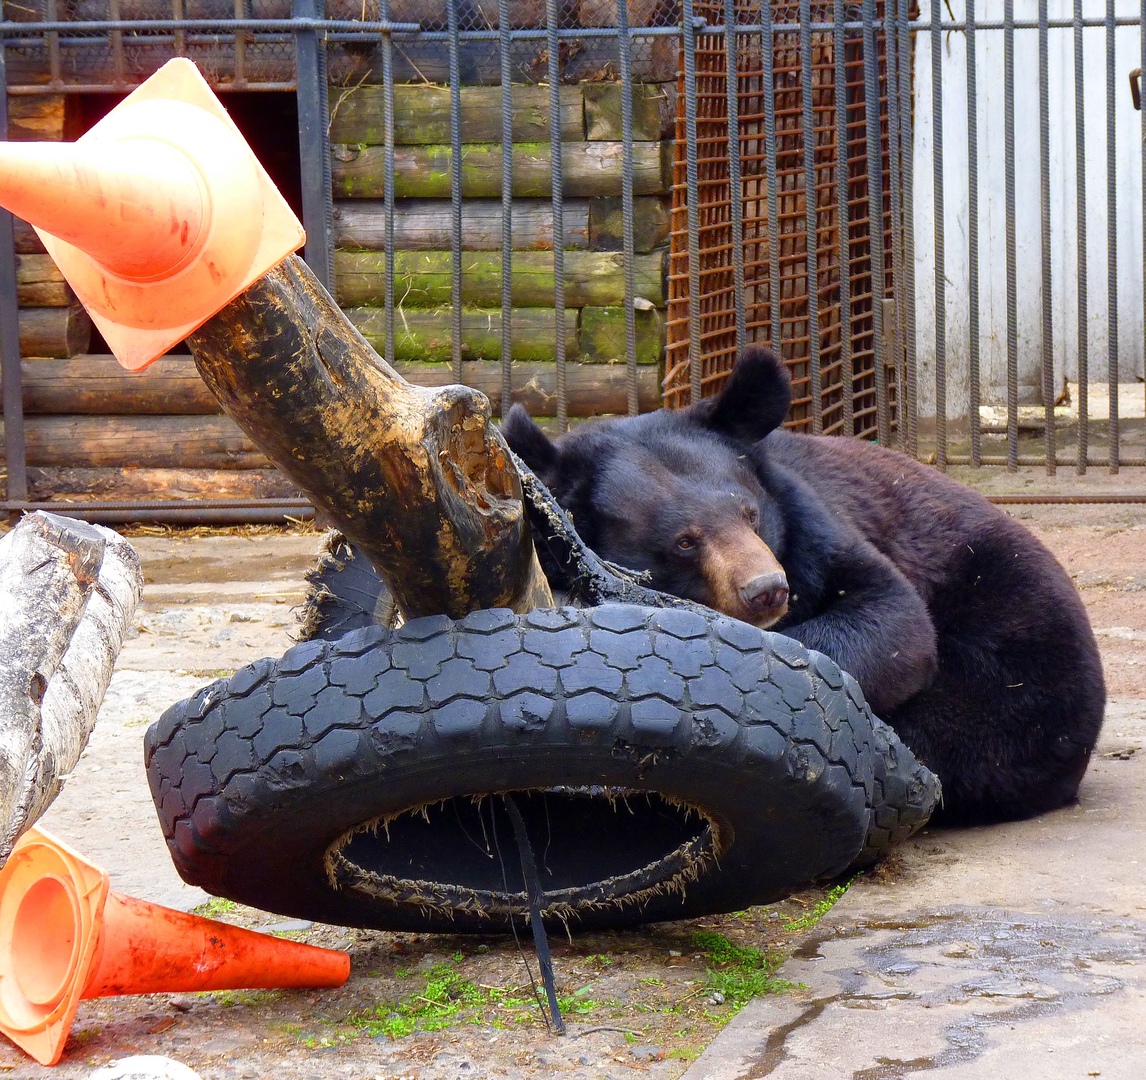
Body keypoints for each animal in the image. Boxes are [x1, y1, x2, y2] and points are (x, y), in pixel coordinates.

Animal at [502, 346, 1106, 826]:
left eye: (750, 514)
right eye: (684, 542)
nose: (767, 588)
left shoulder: (812, 522)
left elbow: (890, 616)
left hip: (1012, 645)